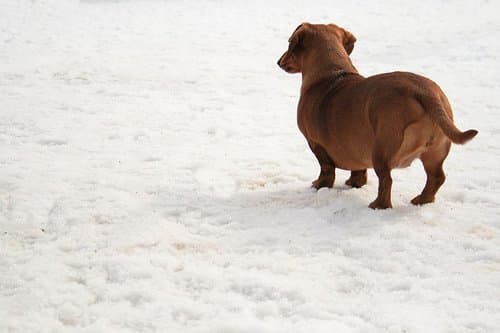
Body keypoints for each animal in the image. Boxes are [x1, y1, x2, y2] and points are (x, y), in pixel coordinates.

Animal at [278, 23, 476, 209]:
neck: (332, 73)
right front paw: (354, 183)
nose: (279, 62)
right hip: (434, 153)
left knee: (386, 180)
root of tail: (424, 92)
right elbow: (358, 170)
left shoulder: (315, 144)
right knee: (436, 177)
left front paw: (319, 185)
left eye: (289, 43)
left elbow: (326, 169)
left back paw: (378, 205)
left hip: (381, 152)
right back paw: (422, 200)